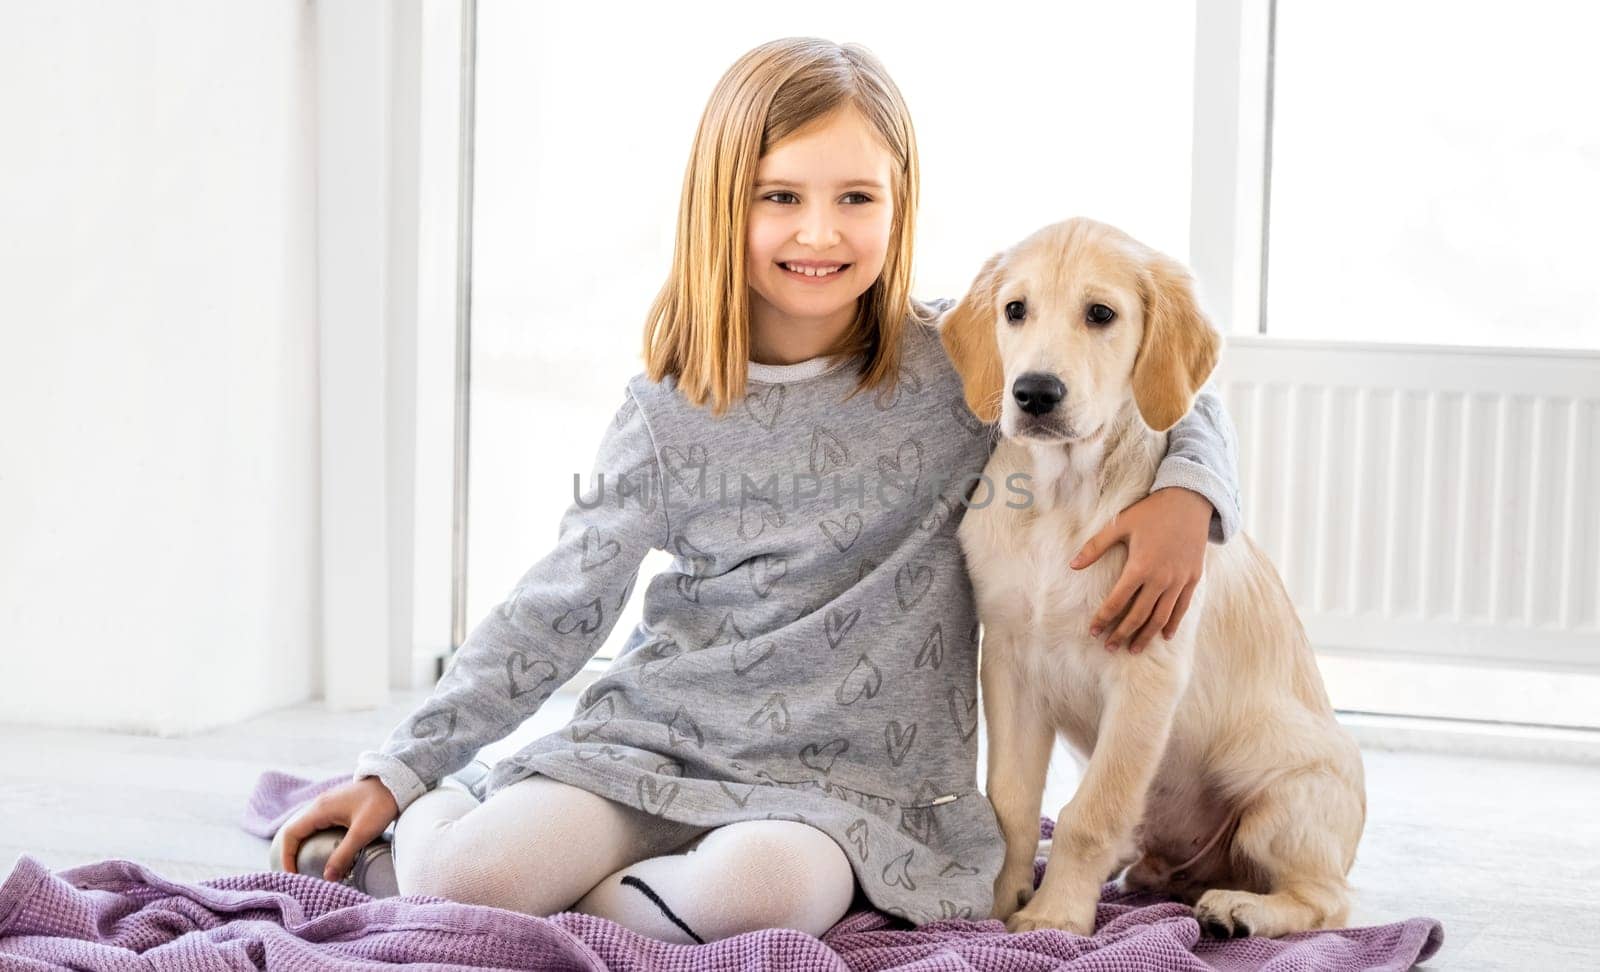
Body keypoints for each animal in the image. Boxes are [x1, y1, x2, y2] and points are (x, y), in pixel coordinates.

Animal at [940, 215, 1369, 940]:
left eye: (1100, 314)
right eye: (1014, 310)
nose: (1033, 393)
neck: (1064, 498)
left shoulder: (1146, 671)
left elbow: (1090, 814)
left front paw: (1055, 916)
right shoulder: (1009, 662)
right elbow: (1012, 803)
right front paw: (998, 901)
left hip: (1286, 796)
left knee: (1329, 899)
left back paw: (1240, 909)